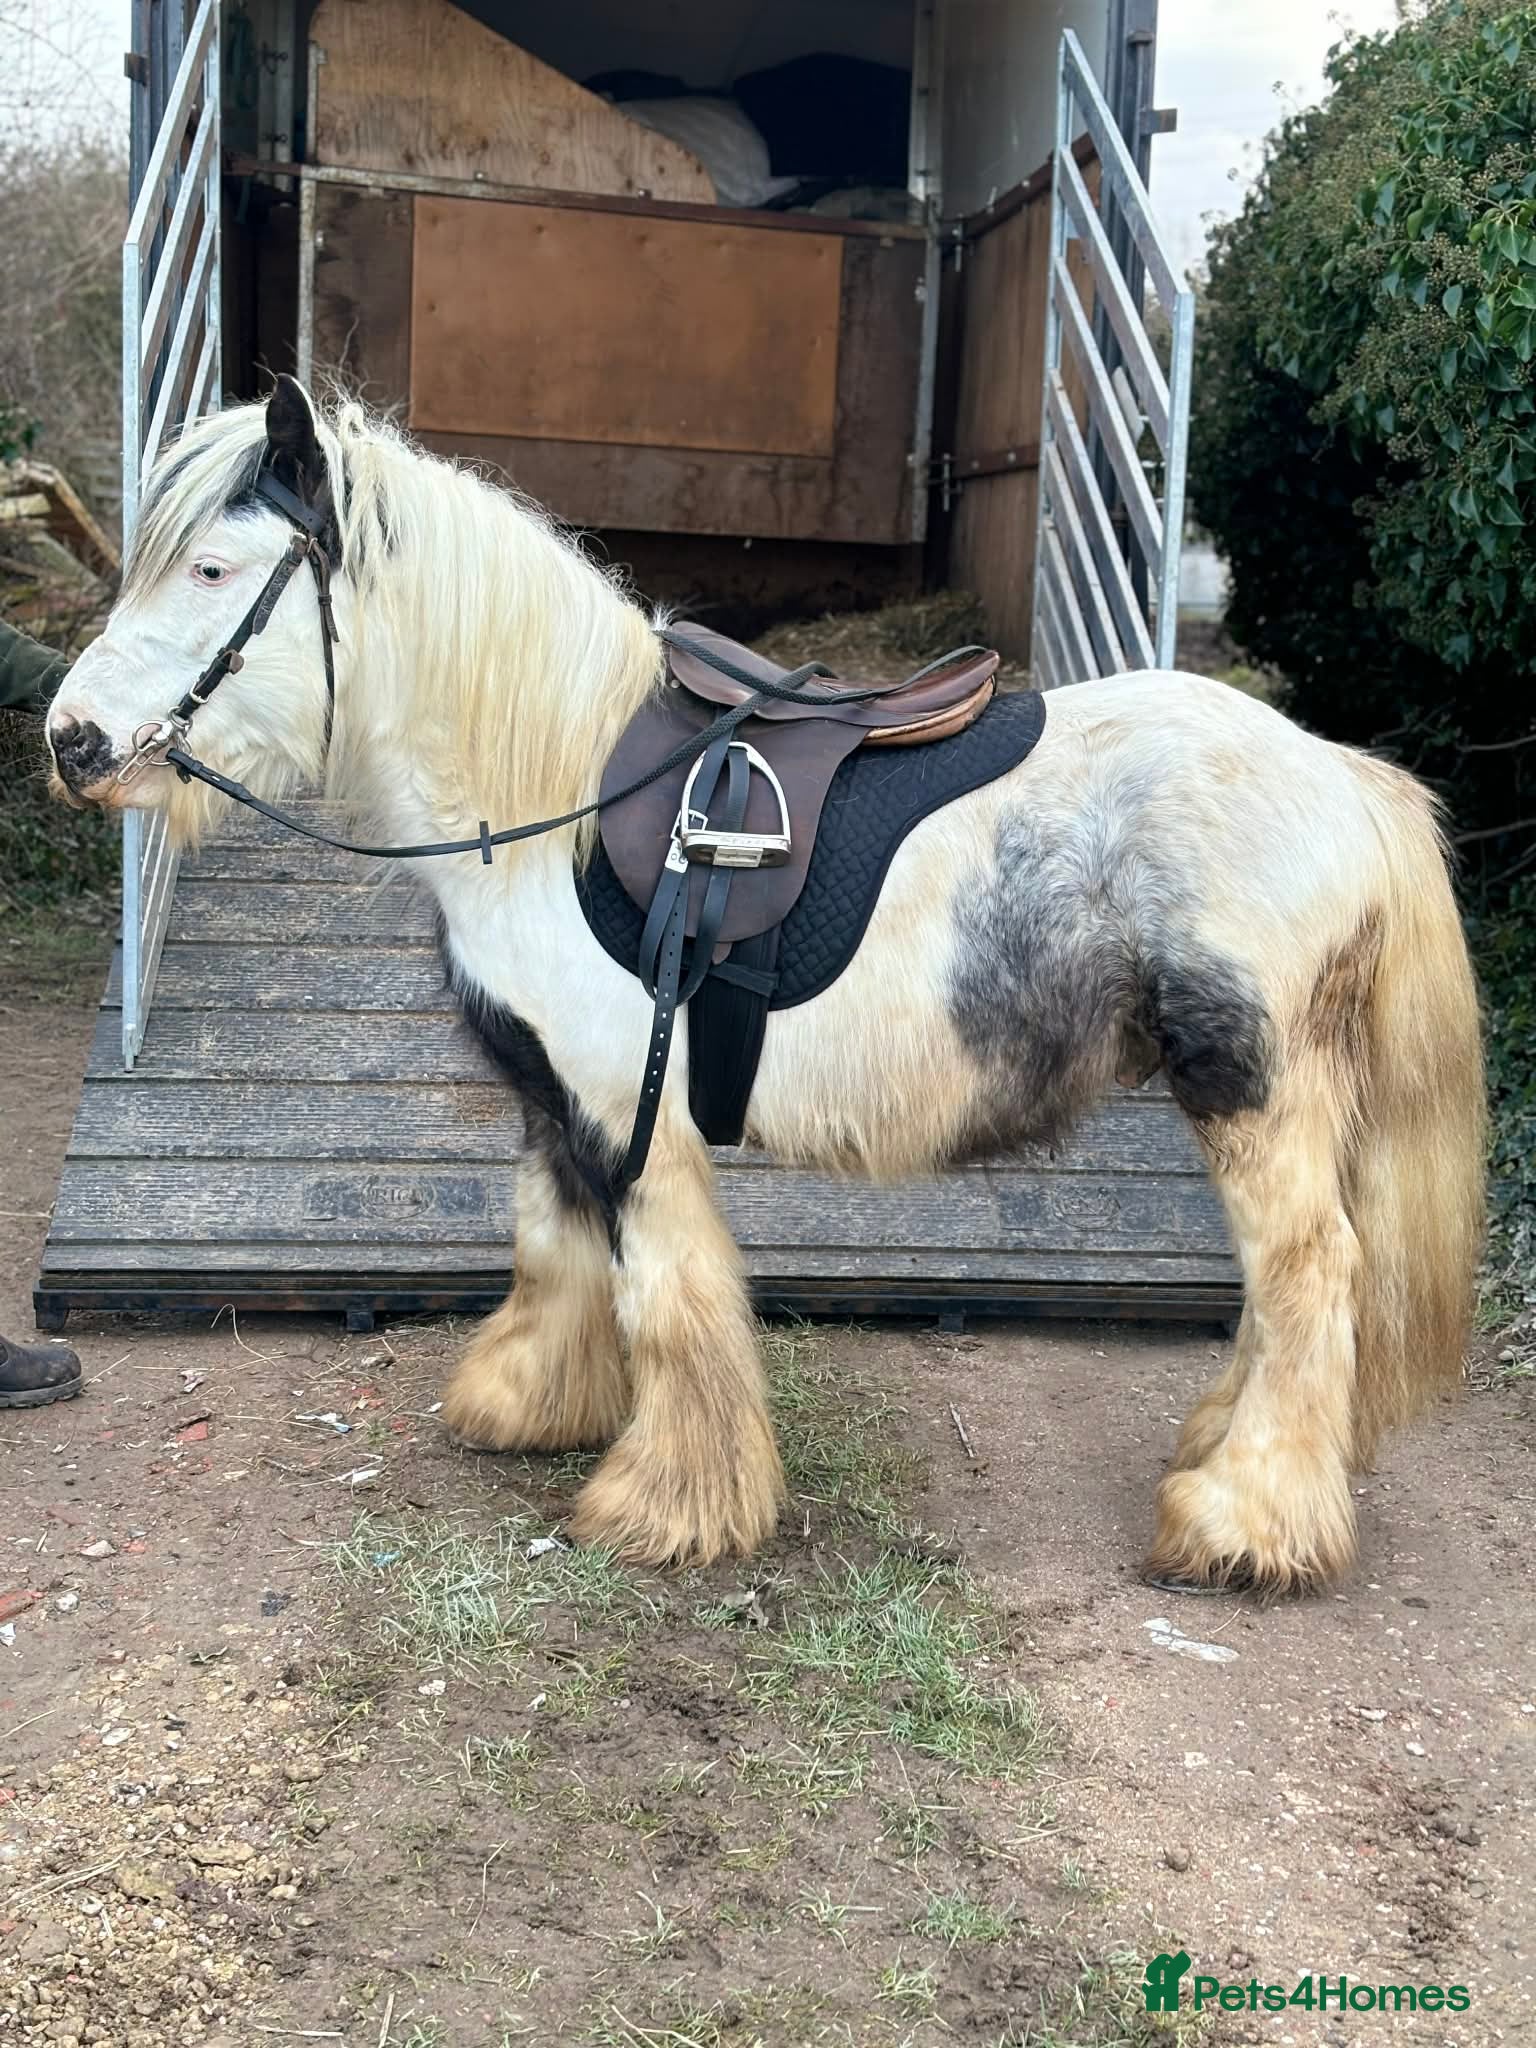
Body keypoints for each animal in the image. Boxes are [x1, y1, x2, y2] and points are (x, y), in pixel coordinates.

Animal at [46, 378, 1486, 1592]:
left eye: (213, 567)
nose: (71, 741)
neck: (555, 800)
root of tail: (1341, 773)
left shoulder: (637, 1113)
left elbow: (665, 1297)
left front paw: (669, 1503)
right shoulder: (556, 1099)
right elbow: (554, 1248)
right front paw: (530, 1405)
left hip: (1251, 1084)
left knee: (1309, 1268)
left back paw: (1245, 1521)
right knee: (1288, 1282)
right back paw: (1220, 1452)